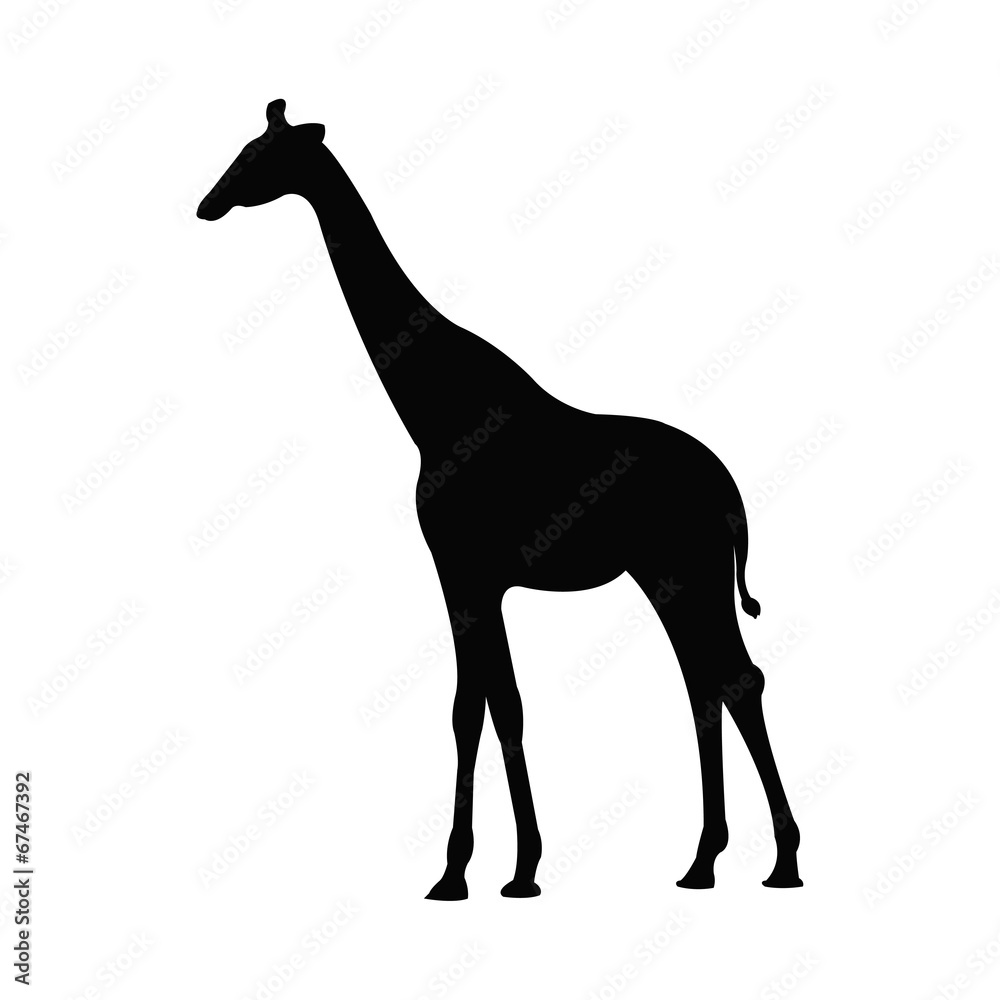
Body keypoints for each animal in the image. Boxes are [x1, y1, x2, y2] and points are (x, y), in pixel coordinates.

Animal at [197, 100, 802, 898]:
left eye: (258, 156)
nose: (206, 204)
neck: (432, 408)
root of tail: (732, 492)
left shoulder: (462, 571)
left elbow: (473, 709)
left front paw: (466, 871)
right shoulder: (482, 579)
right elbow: (498, 706)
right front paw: (514, 867)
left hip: (687, 570)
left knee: (734, 679)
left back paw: (781, 861)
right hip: (668, 575)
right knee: (710, 684)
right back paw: (705, 862)